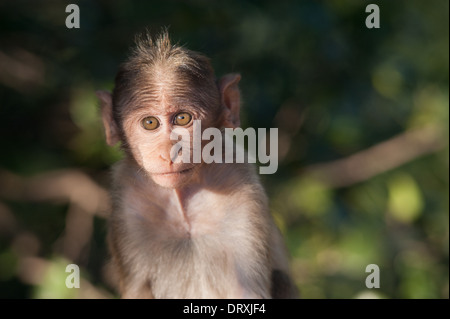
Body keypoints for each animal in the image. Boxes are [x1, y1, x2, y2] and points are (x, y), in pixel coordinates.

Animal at [96, 30, 298, 300]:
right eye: (150, 123)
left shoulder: (239, 185)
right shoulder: (128, 202)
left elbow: (246, 290)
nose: (168, 153)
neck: (181, 200)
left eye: (182, 118)